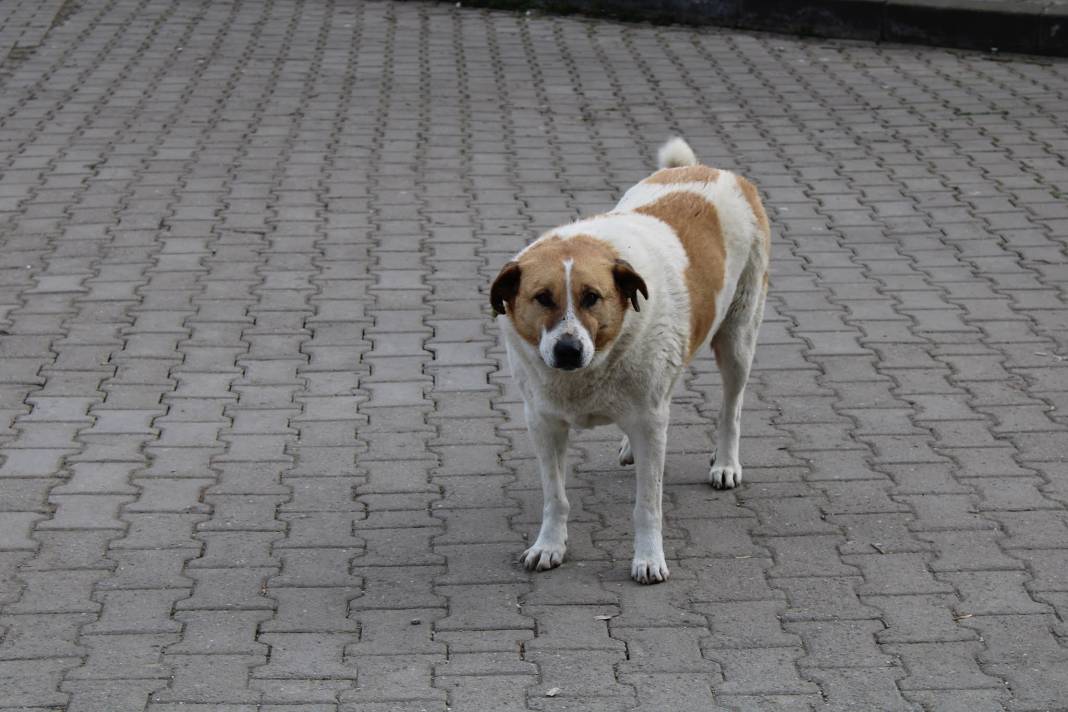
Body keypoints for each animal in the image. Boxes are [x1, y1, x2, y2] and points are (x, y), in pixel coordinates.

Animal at [489, 138, 773, 584]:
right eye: (542, 298)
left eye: (592, 297)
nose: (568, 351)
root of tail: (711, 170)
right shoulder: (543, 422)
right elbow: (555, 497)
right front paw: (549, 545)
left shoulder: (650, 421)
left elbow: (647, 505)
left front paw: (649, 557)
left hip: (738, 338)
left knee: (732, 408)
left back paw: (726, 463)